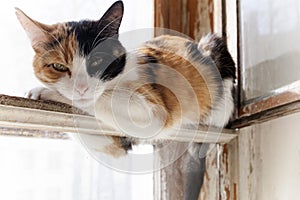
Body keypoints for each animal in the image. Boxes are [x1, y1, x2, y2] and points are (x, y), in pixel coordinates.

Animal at [15, 1, 236, 158]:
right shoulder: (115, 144)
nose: (81, 88)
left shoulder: (153, 109)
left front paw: (42, 91)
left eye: (98, 61)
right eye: (59, 67)